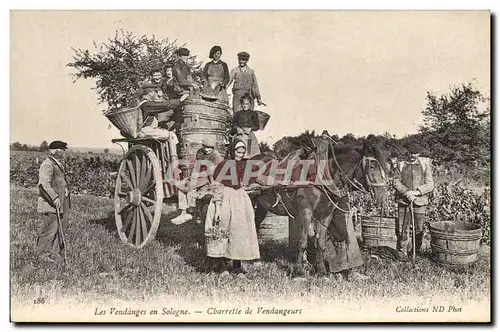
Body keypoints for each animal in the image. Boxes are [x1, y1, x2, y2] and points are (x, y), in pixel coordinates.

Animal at [250, 137, 390, 278]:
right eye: (372, 166)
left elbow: (321, 243)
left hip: (262, 206)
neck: (320, 176)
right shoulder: (305, 213)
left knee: (256, 225)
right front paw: (298, 271)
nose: (383, 196)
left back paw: (256, 261)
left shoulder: (326, 215)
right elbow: (302, 242)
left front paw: (321, 271)